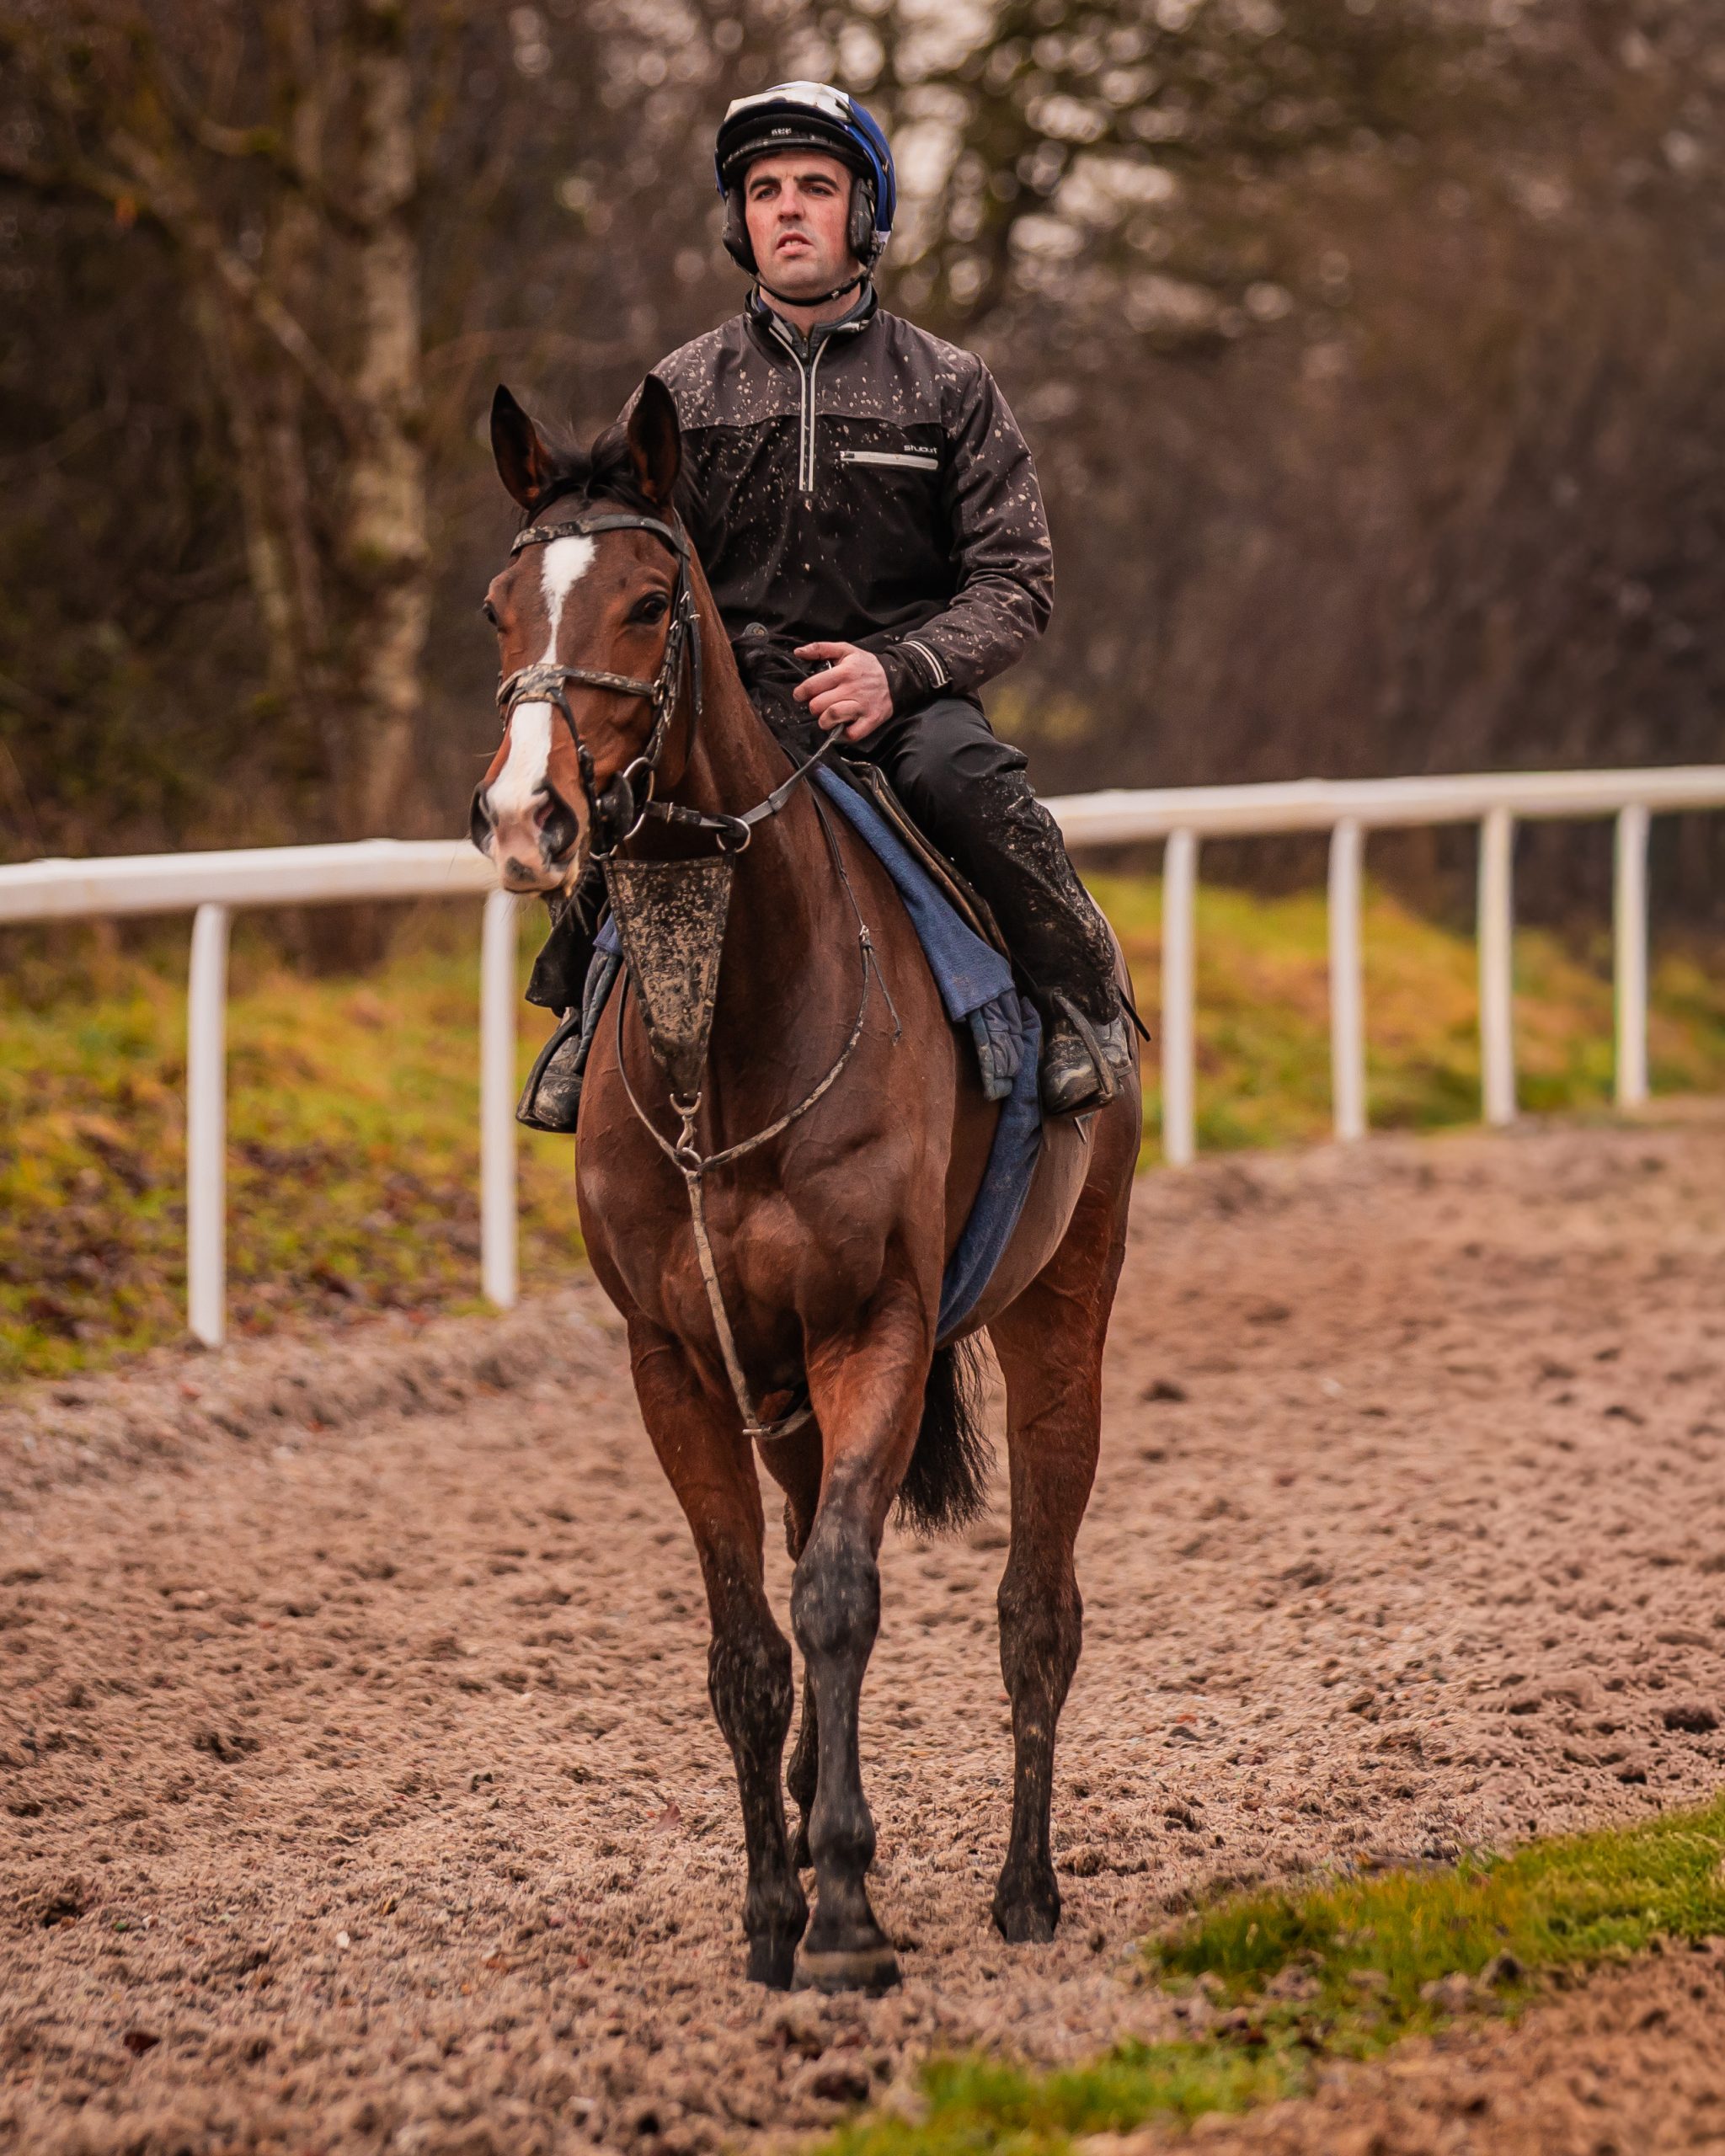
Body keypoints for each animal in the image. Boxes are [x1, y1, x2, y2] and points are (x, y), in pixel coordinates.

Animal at [470, 376, 1141, 1993]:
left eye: (652, 601)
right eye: (498, 607)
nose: (527, 817)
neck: (725, 1043)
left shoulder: (872, 1327)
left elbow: (839, 1601)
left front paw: (839, 1916)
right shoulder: (681, 1357)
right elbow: (747, 1643)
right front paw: (774, 1907)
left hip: (1061, 1305)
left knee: (1036, 1605)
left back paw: (1026, 1887)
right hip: (777, 1390)